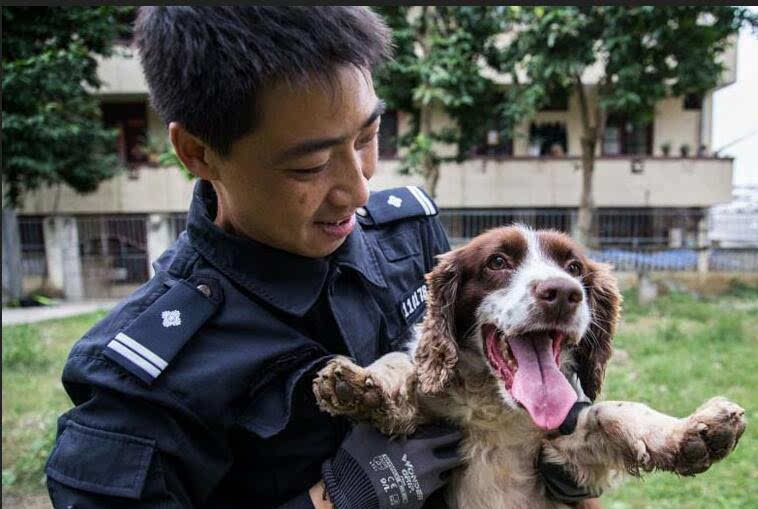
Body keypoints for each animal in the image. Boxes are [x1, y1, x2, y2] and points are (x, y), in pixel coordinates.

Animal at [314, 226, 748, 508]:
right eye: (497, 261)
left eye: (574, 268)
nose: (563, 294)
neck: (497, 407)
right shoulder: (429, 421)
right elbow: (396, 367)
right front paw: (359, 385)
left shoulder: (560, 456)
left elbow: (612, 412)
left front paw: (692, 433)